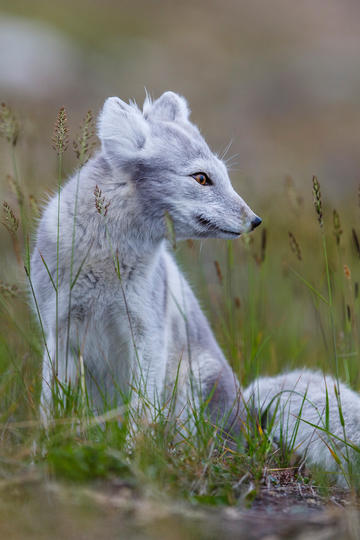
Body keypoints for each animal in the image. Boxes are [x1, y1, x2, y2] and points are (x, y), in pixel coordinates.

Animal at [31, 90, 360, 484]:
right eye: (201, 178)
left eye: (223, 176)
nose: (255, 220)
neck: (104, 257)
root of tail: (250, 419)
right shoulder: (58, 330)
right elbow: (51, 405)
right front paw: (44, 451)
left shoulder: (148, 332)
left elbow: (142, 409)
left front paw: (133, 456)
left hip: (194, 381)